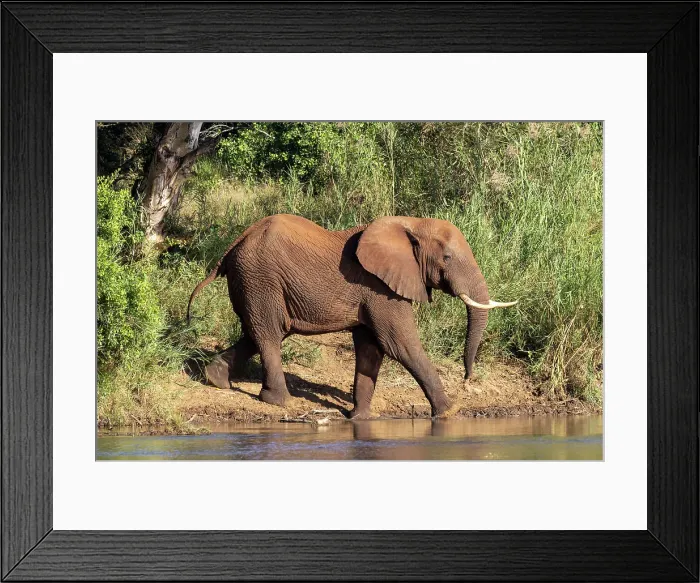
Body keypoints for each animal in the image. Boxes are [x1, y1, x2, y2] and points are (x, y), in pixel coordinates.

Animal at [187, 214, 516, 419]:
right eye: (446, 258)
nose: (467, 378)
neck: (412, 223)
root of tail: (235, 243)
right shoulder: (380, 288)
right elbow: (400, 344)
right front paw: (449, 412)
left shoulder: (375, 291)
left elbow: (372, 349)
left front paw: (359, 418)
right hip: (260, 278)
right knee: (269, 335)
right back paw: (280, 402)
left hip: (256, 283)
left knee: (258, 332)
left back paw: (216, 378)